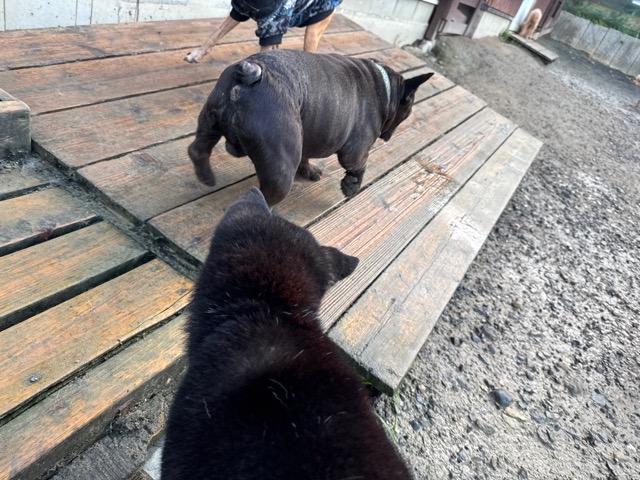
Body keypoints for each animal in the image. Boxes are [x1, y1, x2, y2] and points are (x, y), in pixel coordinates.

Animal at [188, 50, 433, 205]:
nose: (389, 136)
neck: (385, 86)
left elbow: (305, 156)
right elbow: (359, 165)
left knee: (198, 148)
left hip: (210, 118)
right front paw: (352, 186)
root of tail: (251, 73)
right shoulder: (355, 151)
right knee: (267, 195)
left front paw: (309, 171)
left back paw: (206, 177)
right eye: (408, 111)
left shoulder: (306, 136)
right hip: (280, 169)